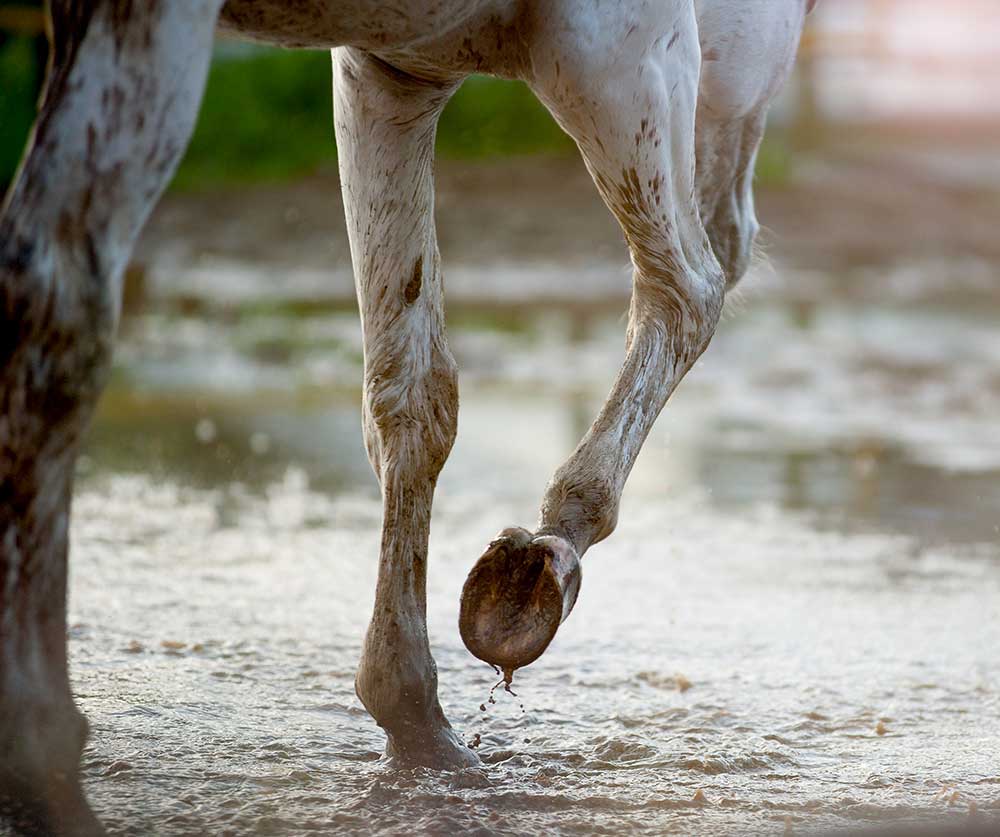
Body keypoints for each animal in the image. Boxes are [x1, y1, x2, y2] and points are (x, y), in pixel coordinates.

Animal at [0, 0, 815, 831]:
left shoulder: (395, 71)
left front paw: (418, 714)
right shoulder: (603, 39)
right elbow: (680, 293)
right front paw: (538, 564)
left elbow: (413, 394)